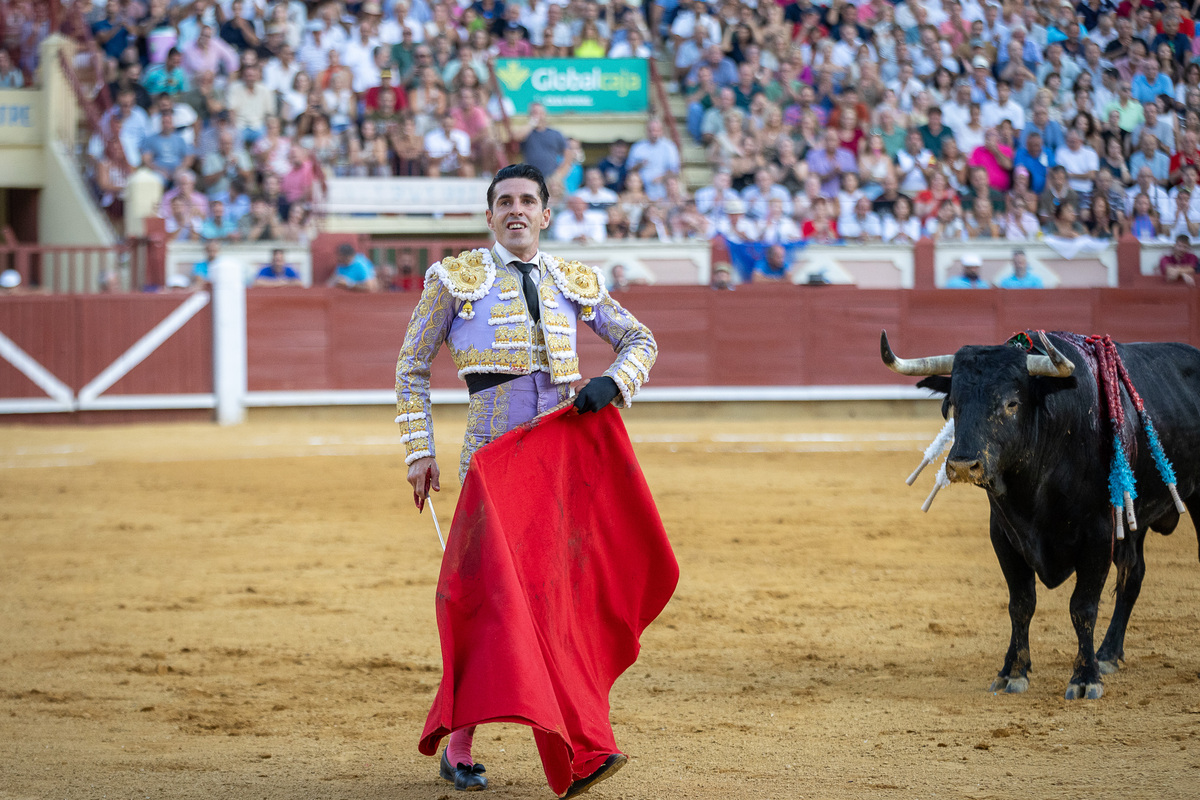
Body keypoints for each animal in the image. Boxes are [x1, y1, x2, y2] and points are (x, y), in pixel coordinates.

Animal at [883, 331, 1200, 700]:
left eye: (1011, 403)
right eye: (953, 404)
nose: (962, 465)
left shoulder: (1099, 534)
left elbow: (1082, 606)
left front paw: (1085, 678)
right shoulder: (1003, 535)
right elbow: (1021, 603)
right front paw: (1013, 672)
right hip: (1135, 522)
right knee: (1132, 574)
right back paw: (1108, 654)